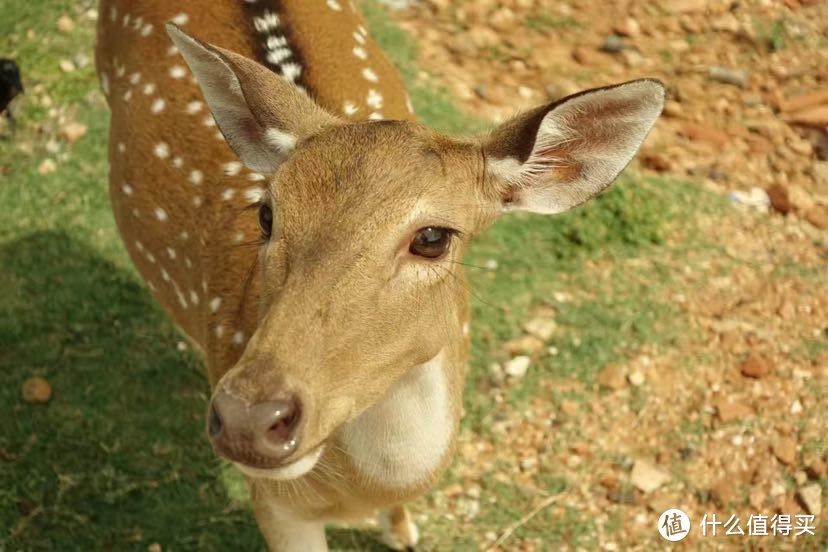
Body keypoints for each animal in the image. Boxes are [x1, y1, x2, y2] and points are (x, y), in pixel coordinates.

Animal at [95, 0, 668, 548]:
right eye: (266, 214)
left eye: (433, 237)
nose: (248, 419)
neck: (368, 486)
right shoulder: (275, 502)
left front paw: (404, 533)